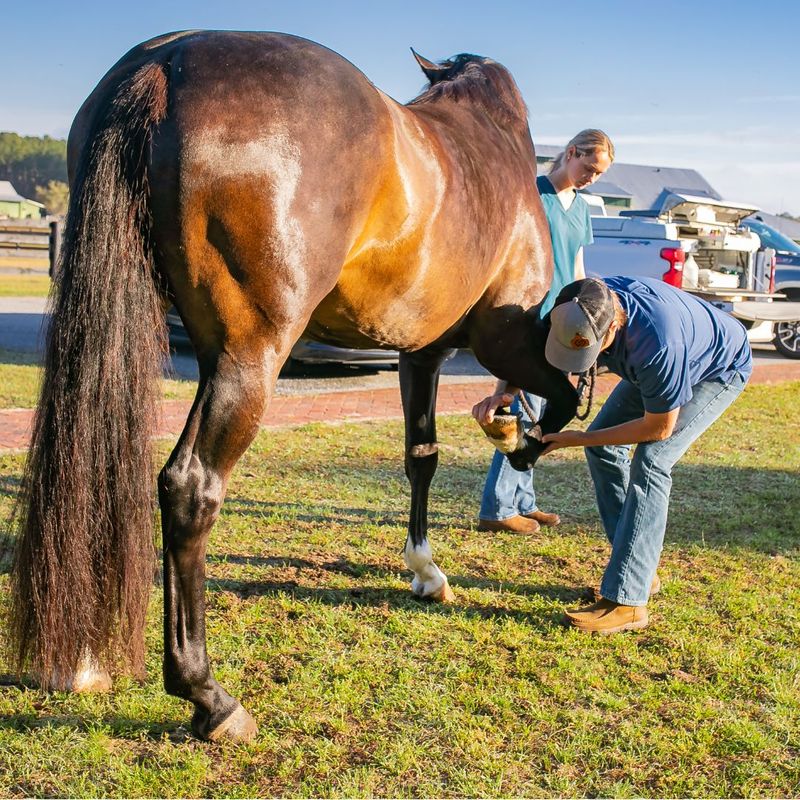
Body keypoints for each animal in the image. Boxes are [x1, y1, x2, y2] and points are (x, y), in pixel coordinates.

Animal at [9, 31, 580, 744]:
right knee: (189, 487)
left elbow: (421, 457)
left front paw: (425, 570)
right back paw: (209, 696)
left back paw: (81, 660)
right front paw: (517, 437)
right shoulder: (505, 340)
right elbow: (565, 395)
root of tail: (166, 61)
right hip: (251, 354)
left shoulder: (419, 354)